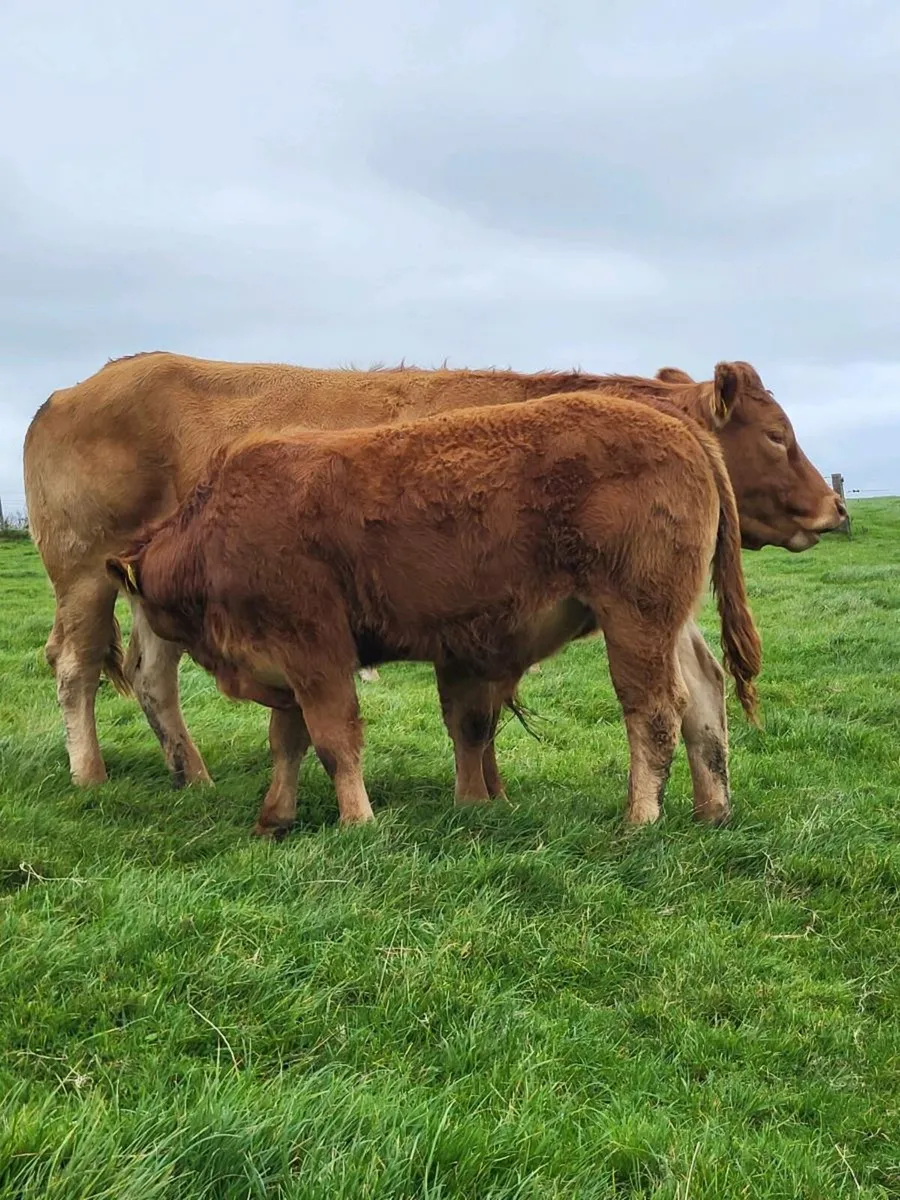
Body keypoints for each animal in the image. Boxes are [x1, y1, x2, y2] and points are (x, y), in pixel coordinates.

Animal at [23, 353, 843, 788]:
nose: (835, 508)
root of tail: (69, 389)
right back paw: (90, 775)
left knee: (150, 676)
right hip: (84, 576)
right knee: (75, 667)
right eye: (777, 436)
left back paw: (192, 775)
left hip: (138, 588)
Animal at [106, 391, 762, 834]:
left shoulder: (314, 649)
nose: (137, 650)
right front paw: (275, 818)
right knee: (705, 695)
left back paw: (639, 817)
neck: (217, 530)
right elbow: (286, 742)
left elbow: (334, 738)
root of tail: (677, 425)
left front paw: (358, 821)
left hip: (635, 617)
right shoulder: (284, 663)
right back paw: (713, 810)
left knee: (654, 710)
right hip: (668, 619)